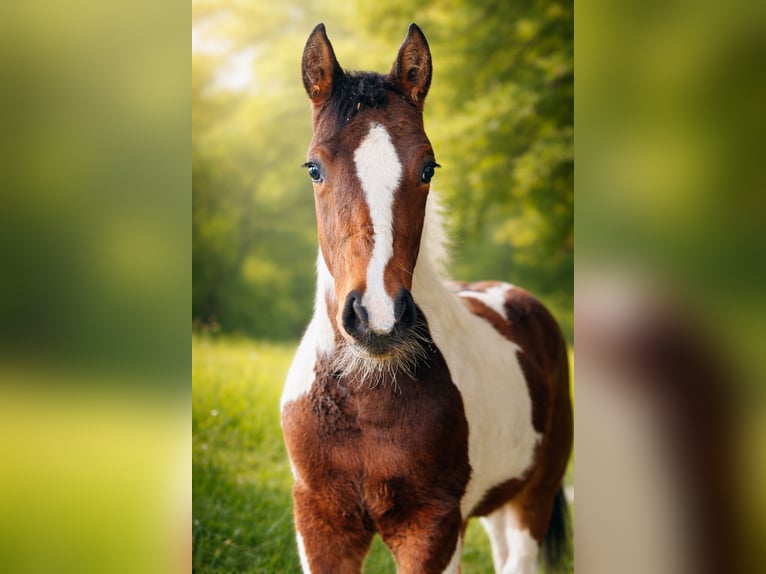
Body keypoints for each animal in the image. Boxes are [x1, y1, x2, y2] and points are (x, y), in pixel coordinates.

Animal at [280, 23, 573, 574]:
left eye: (428, 168)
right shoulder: (321, 521)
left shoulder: (432, 527)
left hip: (533, 498)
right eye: (313, 168)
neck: (363, 394)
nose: (377, 318)